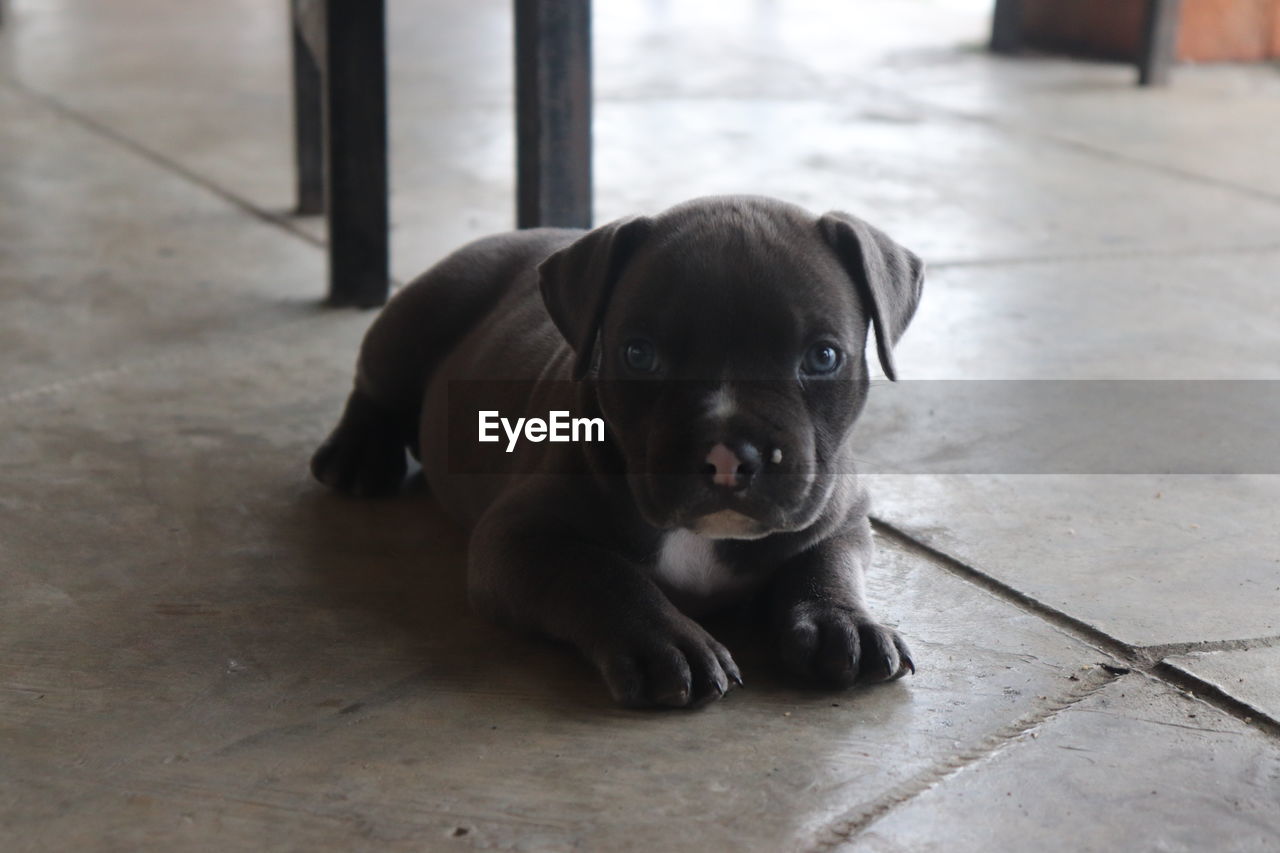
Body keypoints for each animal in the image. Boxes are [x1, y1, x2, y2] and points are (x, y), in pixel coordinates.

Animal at [314, 195, 926, 706]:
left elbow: (825, 562)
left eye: (823, 358)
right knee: (374, 386)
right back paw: (356, 454)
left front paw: (841, 624)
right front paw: (667, 642)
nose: (728, 456)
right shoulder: (516, 539)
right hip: (422, 315)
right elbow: (601, 573)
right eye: (639, 355)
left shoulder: (841, 513)